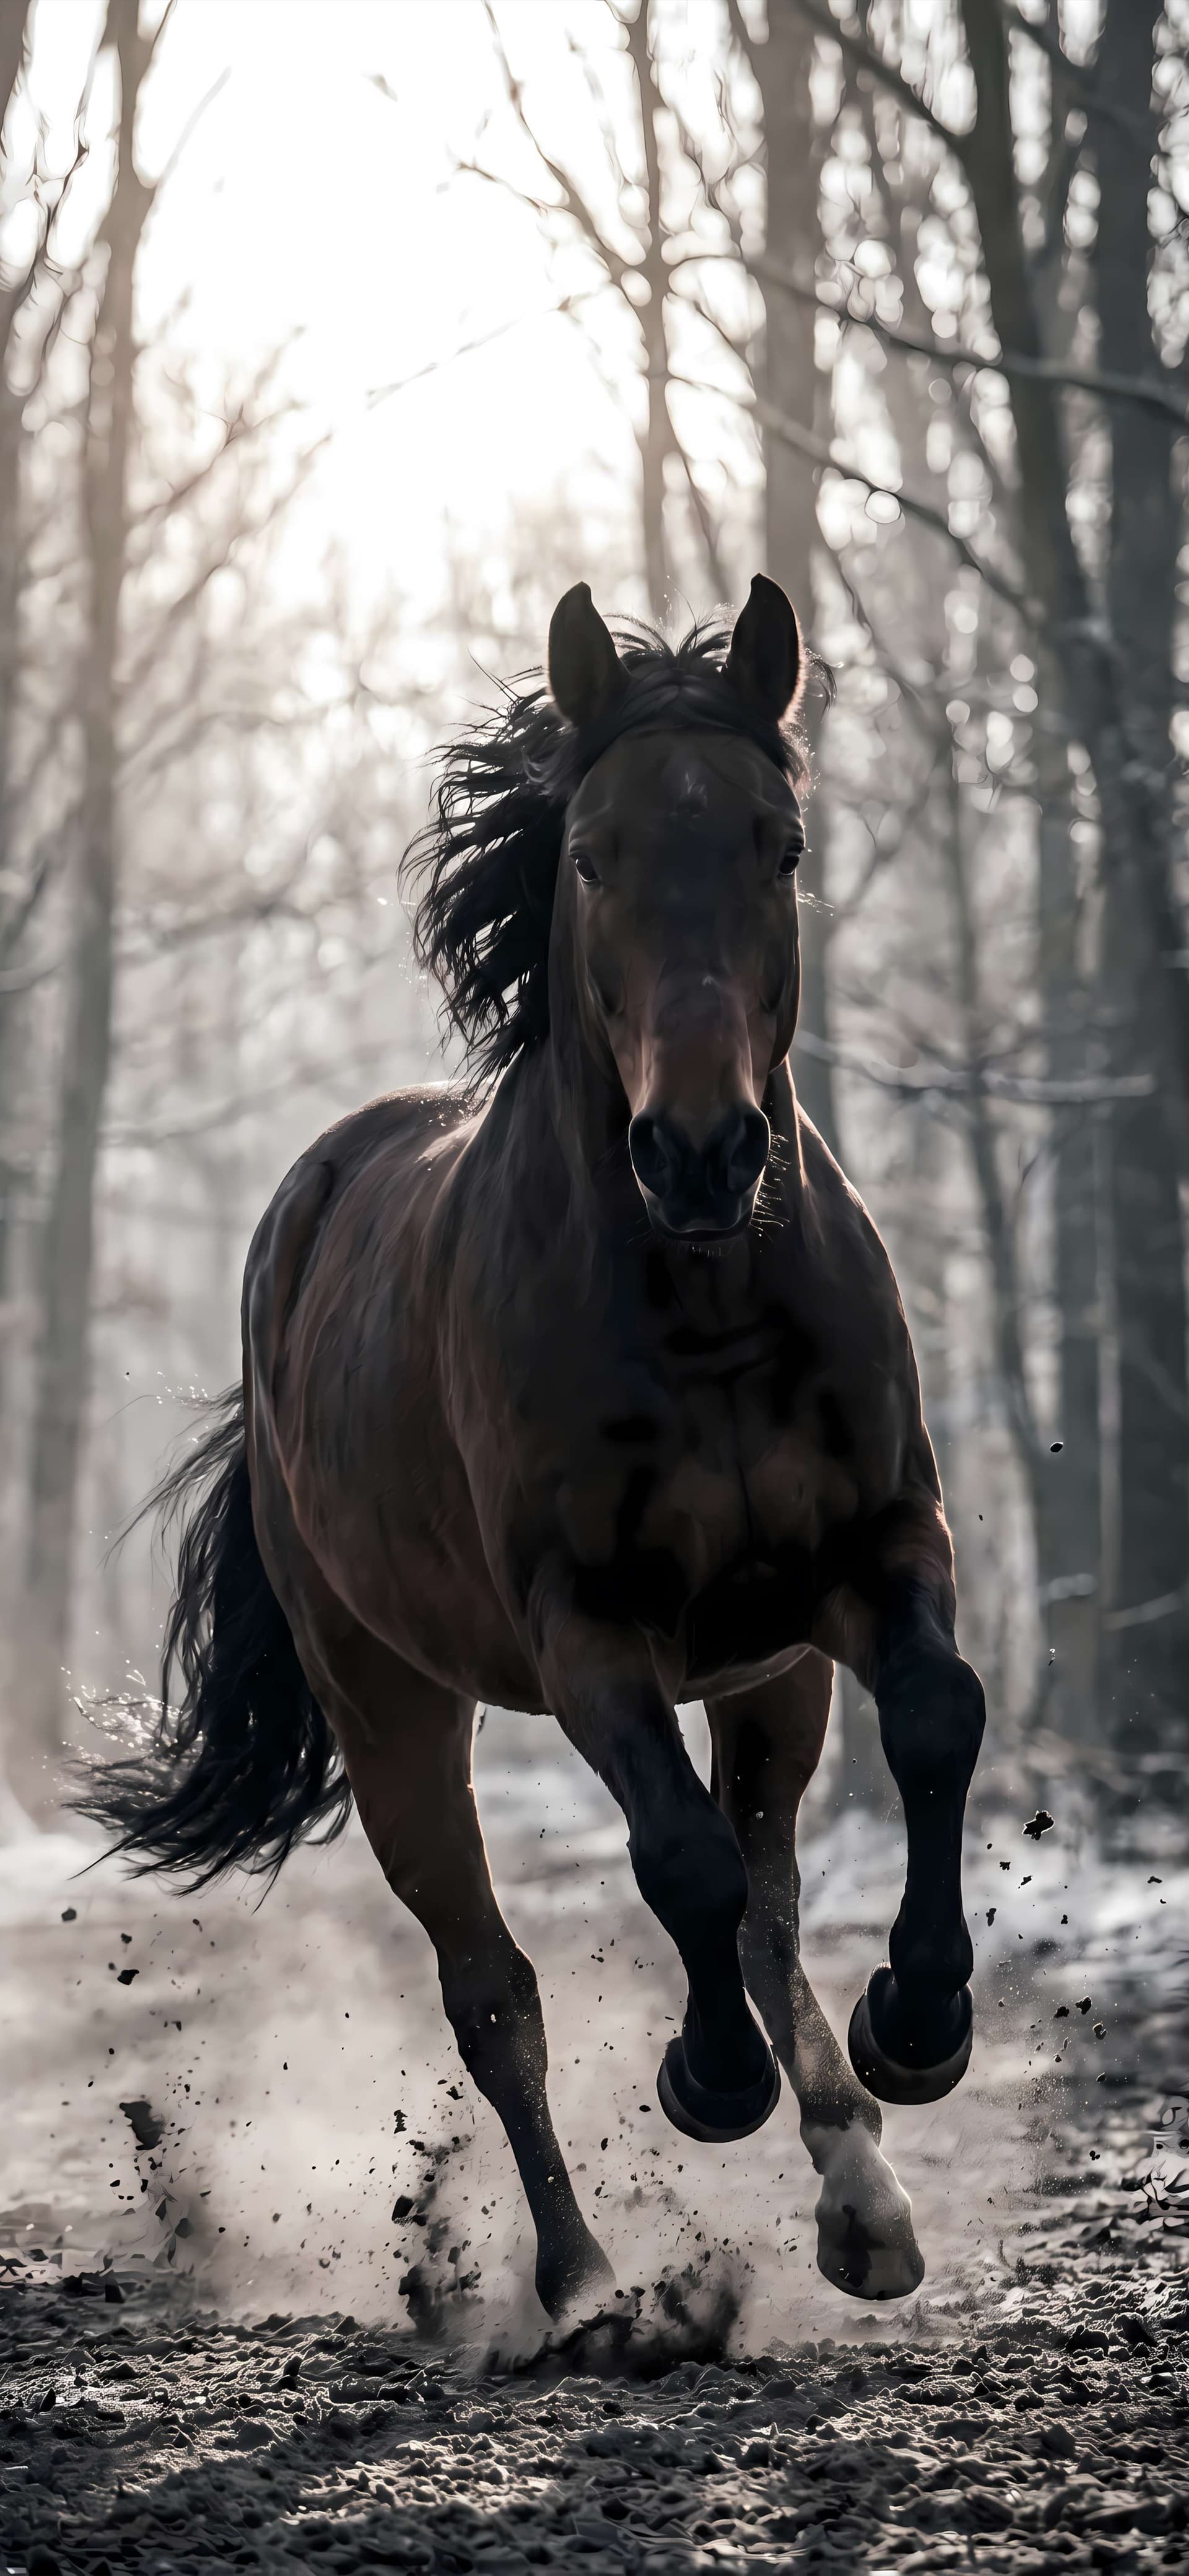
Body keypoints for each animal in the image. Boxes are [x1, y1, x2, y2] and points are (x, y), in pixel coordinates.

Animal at [86, 575, 985, 2322]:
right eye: (591, 855)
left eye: (780, 840)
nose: (701, 1151)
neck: (705, 1304)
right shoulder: (588, 1631)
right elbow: (679, 1865)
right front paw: (706, 2083)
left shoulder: (866, 1562)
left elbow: (933, 1723)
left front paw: (920, 2028)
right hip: (392, 1709)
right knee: (496, 1992)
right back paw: (582, 2288)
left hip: (770, 1677)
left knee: (773, 1904)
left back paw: (862, 2203)